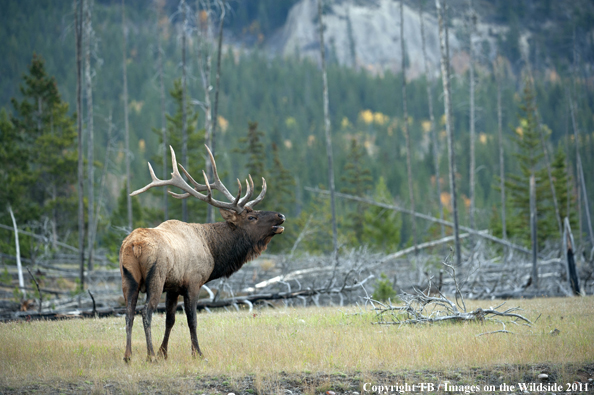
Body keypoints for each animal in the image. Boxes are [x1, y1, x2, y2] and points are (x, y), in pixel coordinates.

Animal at [119, 145, 284, 362]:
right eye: (252, 217)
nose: (281, 216)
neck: (213, 251)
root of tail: (134, 245)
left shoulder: (173, 286)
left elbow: (170, 320)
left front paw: (165, 352)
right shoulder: (193, 282)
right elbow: (192, 320)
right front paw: (197, 352)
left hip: (128, 278)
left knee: (128, 313)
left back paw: (128, 356)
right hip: (156, 277)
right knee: (145, 312)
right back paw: (150, 355)